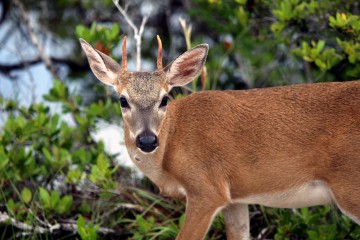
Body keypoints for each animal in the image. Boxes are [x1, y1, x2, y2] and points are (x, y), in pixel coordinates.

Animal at [80, 36, 360, 240]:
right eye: (123, 100)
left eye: (165, 99)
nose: (147, 141)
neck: (172, 146)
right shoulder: (234, 200)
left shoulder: (206, 188)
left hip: (350, 186)